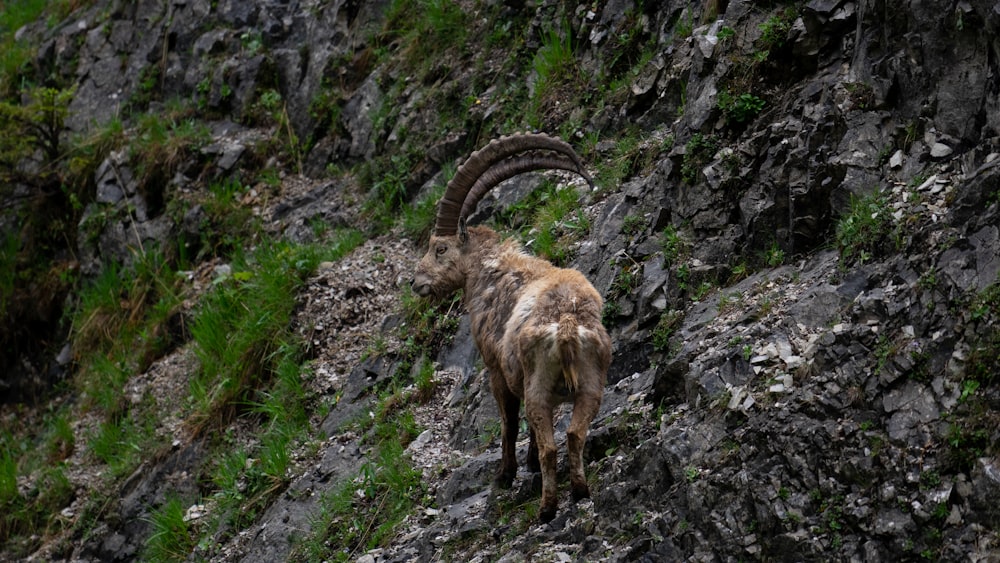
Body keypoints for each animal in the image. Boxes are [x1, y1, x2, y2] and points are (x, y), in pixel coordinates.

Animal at [410, 133, 612, 524]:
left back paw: (547, 509)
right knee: (574, 434)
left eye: (439, 248)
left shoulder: (495, 369)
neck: (491, 269)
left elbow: (508, 422)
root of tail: (567, 323)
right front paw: (527, 463)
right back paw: (580, 491)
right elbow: (531, 430)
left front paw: (505, 475)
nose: (416, 282)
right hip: (590, 384)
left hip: (539, 387)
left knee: (551, 445)